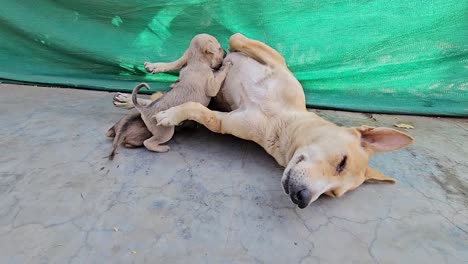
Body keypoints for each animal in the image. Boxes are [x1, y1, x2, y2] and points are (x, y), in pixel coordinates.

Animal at [154, 34, 414, 209]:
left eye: (331, 194)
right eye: (342, 162)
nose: (302, 199)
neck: (281, 122)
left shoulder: (223, 122)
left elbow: (198, 109)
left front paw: (172, 114)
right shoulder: (276, 61)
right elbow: (236, 38)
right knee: (182, 60)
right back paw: (156, 66)